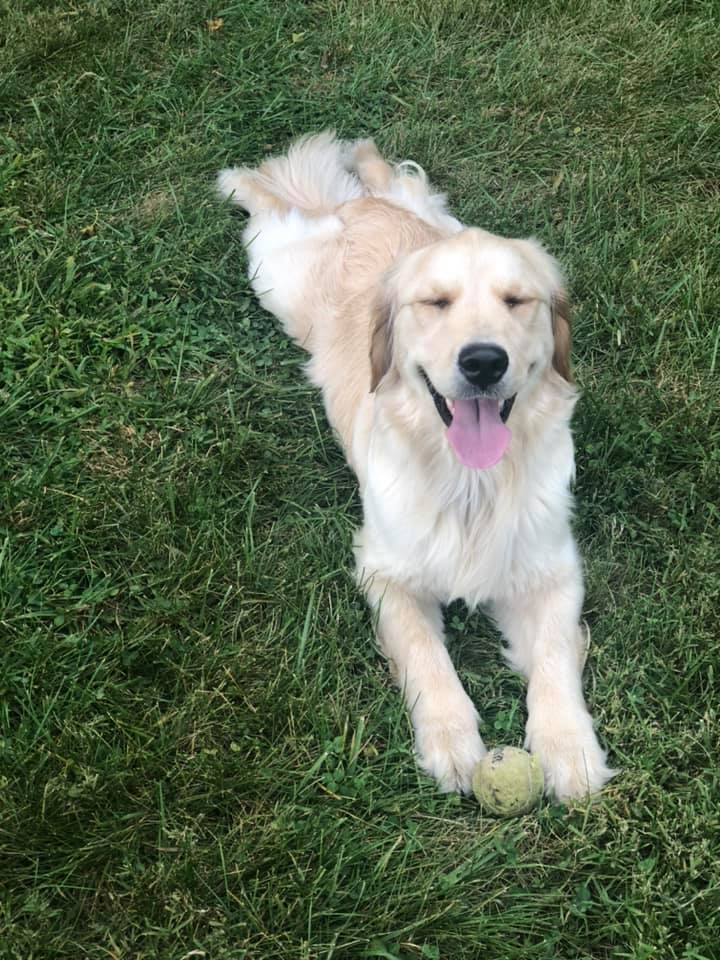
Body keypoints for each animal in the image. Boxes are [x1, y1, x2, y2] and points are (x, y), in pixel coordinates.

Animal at [218, 131, 612, 800]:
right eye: (435, 303)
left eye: (517, 300)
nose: (483, 361)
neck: (472, 481)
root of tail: (357, 211)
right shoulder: (385, 571)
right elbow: (428, 657)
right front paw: (451, 739)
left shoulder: (553, 570)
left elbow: (556, 656)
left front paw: (570, 748)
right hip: (276, 271)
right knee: (283, 199)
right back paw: (245, 180)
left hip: (432, 214)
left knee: (394, 178)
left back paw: (365, 157)